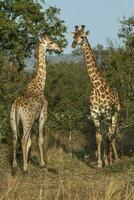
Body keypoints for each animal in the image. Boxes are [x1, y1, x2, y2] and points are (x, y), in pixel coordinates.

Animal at [10, 32, 62, 173]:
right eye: (51, 42)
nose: (59, 47)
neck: (40, 85)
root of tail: (16, 106)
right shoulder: (43, 115)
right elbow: (40, 139)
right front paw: (42, 163)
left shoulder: (34, 119)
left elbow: (30, 142)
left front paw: (28, 160)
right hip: (27, 120)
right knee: (23, 139)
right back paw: (25, 168)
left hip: (13, 119)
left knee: (15, 138)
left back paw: (15, 165)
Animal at [71, 25, 120, 168]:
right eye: (73, 36)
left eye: (82, 36)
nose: (73, 44)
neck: (96, 86)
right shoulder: (95, 115)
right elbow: (98, 137)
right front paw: (99, 163)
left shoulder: (108, 114)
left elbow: (109, 136)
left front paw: (108, 161)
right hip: (105, 119)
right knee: (107, 135)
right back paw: (107, 159)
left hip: (115, 115)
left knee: (112, 135)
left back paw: (115, 159)